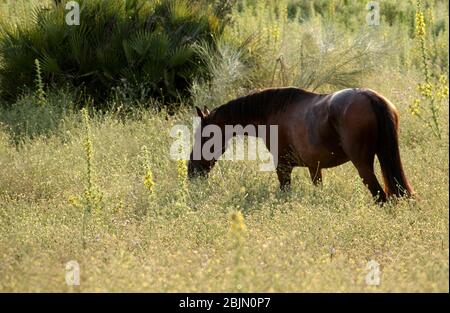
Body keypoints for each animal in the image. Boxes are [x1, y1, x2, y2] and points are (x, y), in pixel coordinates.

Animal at [188, 86, 414, 202]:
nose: (191, 171)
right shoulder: (315, 168)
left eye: (203, 136)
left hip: (363, 166)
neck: (272, 111)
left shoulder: (283, 167)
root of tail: (370, 96)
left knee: (381, 197)